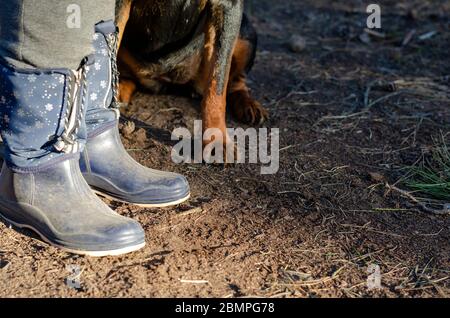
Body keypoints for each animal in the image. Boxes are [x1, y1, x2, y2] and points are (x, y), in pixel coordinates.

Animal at [114, 0, 268, 150]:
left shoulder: (229, 6)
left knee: (236, 81)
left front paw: (218, 141)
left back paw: (249, 105)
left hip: (245, 35)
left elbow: (217, 85)